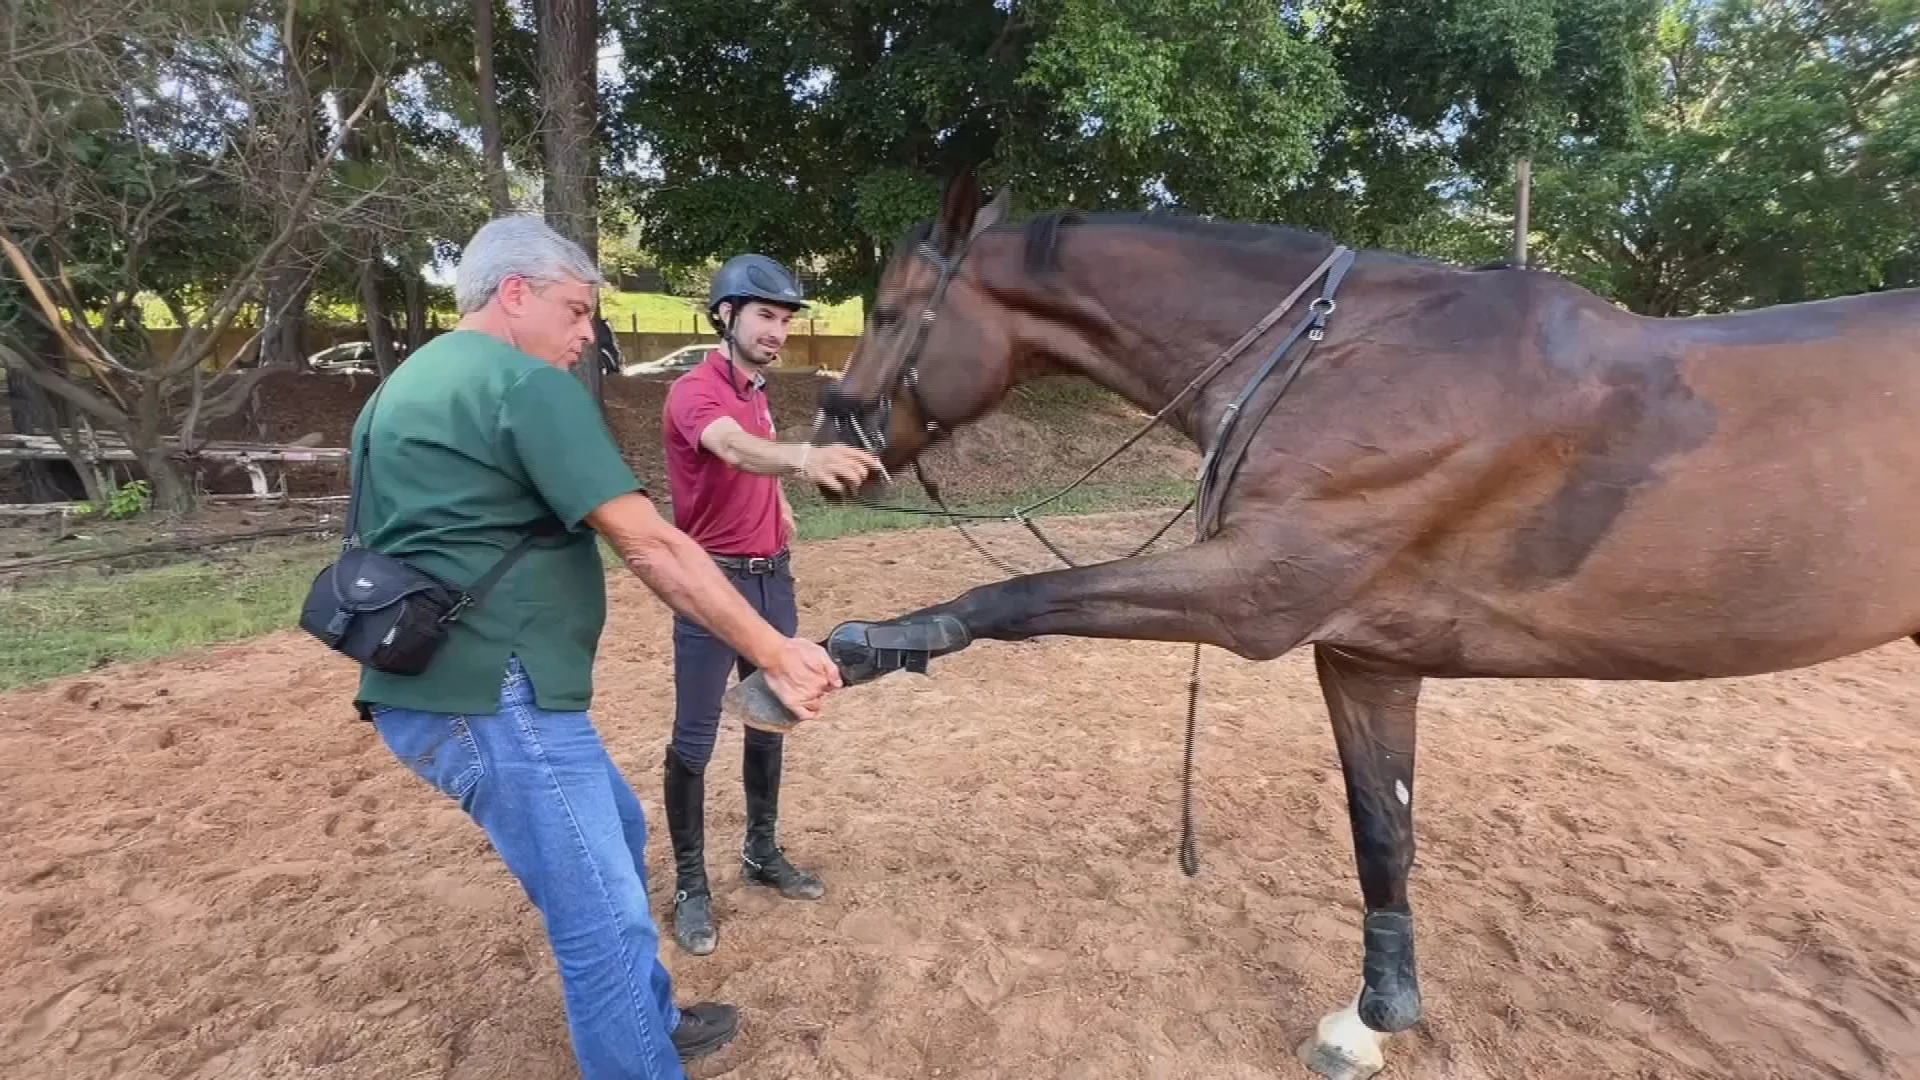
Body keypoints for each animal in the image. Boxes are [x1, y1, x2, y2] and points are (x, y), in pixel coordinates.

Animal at [725, 168, 1920, 1078]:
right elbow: (1382, 833)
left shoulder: (1254, 595)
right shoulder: (1364, 654)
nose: (830, 449)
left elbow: (1007, 602)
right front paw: (1374, 1018)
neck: (1354, 360)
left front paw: (824, 662)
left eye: (888, 313)